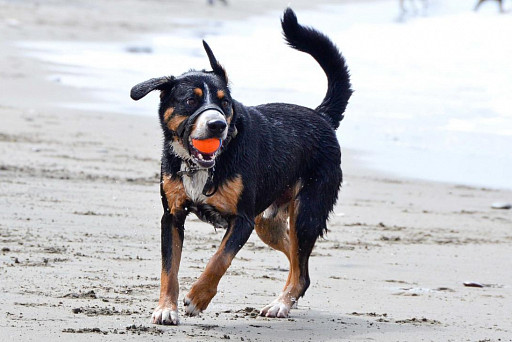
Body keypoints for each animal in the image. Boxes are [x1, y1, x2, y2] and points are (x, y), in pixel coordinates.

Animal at [130, 6, 352, 324]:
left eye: (225, 102)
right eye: (190, 100)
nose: (218, 125)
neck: (205, 166)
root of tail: (321, 116)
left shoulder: (242, 220)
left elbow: (219, 260)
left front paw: (198, 298)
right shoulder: (171, 217)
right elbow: (168, 269)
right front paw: (166, 308)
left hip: (306, 212)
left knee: (301, 270)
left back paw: (280, 304)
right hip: (268, 223)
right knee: (298, 263)